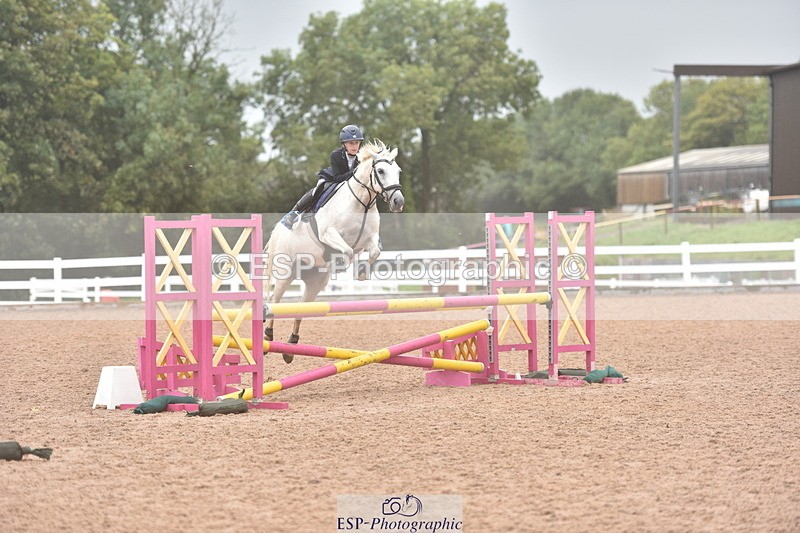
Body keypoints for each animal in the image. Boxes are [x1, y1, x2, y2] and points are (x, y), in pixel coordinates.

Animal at [263, 139, 404, 361]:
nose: (398, 202)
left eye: (398, 171)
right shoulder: (329, 234)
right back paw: (268, 336)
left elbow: (374, 252)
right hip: (285, 272)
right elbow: (346, 251)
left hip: (315, 283)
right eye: (380, 171)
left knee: (301, 307)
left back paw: (291, 346)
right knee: (274, 300)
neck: (362, 203)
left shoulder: (369, 239)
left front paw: (361, 273)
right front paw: (340, 263)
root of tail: (279, 231)